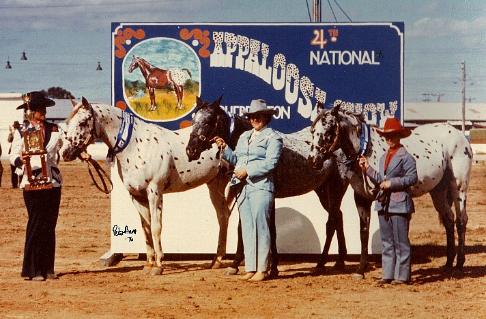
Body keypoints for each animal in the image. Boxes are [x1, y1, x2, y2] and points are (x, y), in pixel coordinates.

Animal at [60, 97, 234, 276]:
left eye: (82, 122)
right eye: (67, 123)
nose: (65, 153)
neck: (136, 146)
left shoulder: (154, 191)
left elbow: (156, 227)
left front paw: (158, 265)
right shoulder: (137, 195)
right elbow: (146, 228)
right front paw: (149, 264)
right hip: (215, 185)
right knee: (223, 216)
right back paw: (216, 261)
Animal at [186, 97, 376, 278]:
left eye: (209, 120)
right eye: (194, 119)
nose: (190, 151)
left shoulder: (268, 196)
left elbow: (270, 230)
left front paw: (270, 268)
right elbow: (245, 228)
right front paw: (241, 265)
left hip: (336, 188)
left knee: (331, 222)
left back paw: (322, 263)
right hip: (322, 191)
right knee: (338, 217)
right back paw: (339, 261)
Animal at [310, 104, 472, 274]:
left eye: (328, 130)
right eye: (313, 130)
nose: (314, 160)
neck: (366, 150)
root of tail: (460, 136)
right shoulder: (361, 198)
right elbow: (364, 232)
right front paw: (361, 269)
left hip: (459, 187)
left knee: (461, 221)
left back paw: (459, 264)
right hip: (438, 191)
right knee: (449, 219)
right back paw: (448, 263)